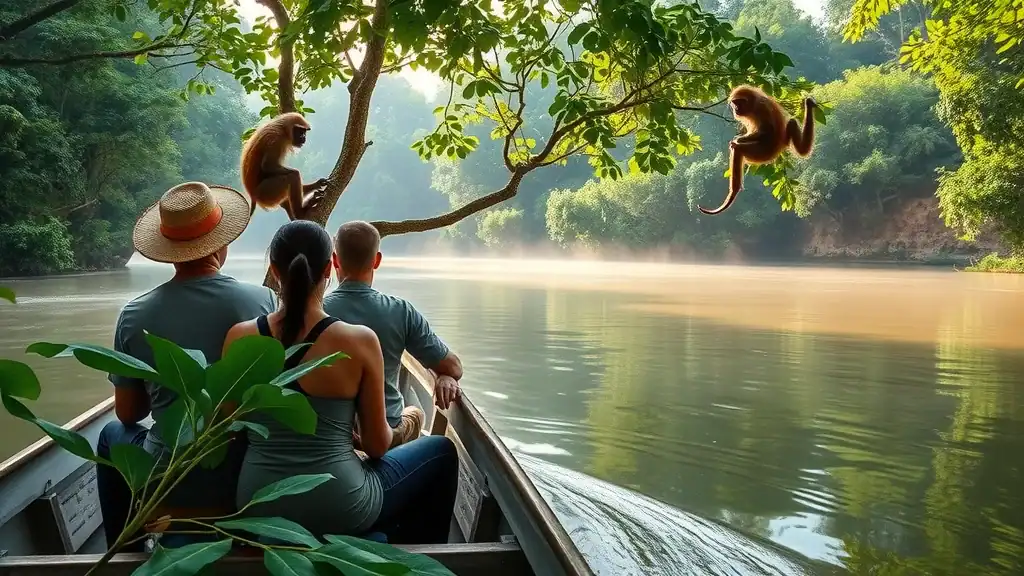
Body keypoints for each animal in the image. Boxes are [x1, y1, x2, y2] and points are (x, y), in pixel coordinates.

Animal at [698, 85, 817, 215]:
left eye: (739, 102)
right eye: (734, 103)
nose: (736, 108)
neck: (754, 104)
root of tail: (778, 146)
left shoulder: (762, 108)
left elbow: (766, 132)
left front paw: (738, 139)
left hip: (762, 151)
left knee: (739, 149)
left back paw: (733, 192)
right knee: (793, 125)